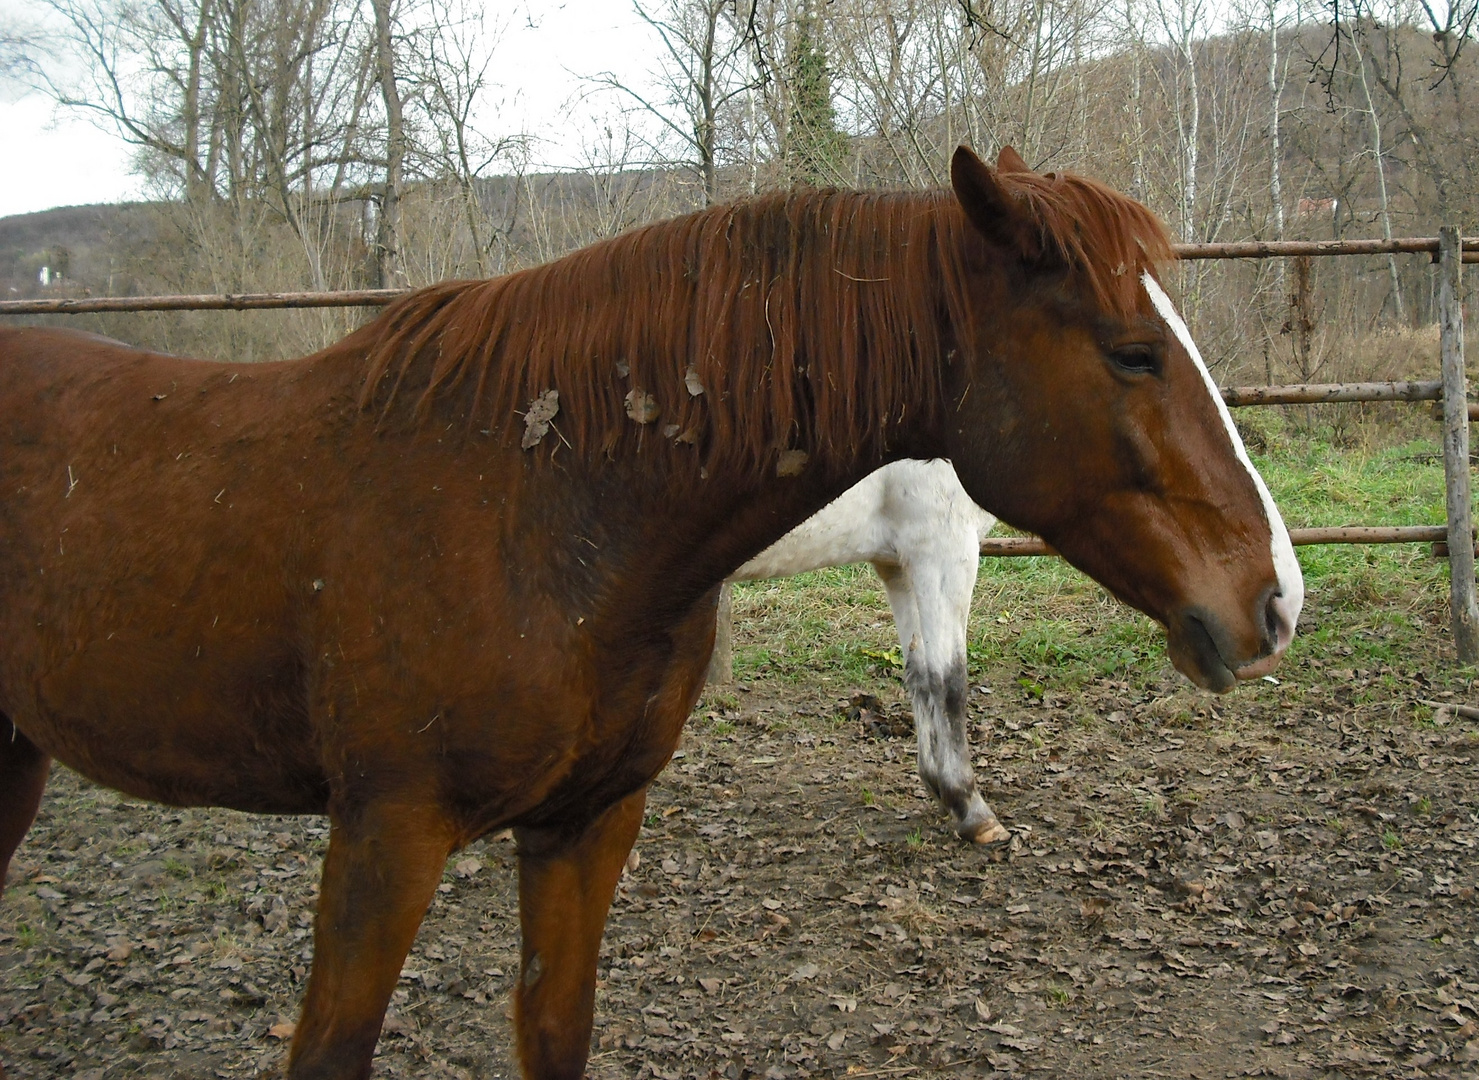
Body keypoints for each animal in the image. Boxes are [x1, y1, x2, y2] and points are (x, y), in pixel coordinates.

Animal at [0, 147, 1295, 1077]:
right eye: (1133, 354)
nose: (1274, 600)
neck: (537, 498)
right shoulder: (383, 832)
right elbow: (945, 685)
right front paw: (970, 810)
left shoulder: (590, 820)